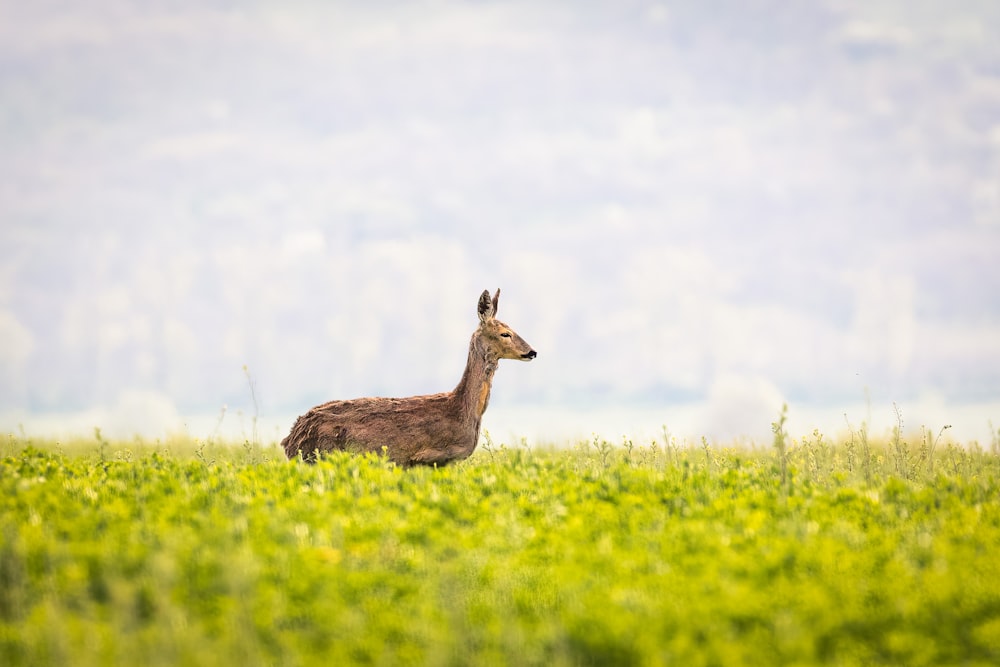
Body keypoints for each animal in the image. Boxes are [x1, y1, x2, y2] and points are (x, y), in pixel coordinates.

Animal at [282, 290, 540, 468]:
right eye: (505, 333)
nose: (532, 352)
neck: (463, 409)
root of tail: (290, 439)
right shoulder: (429, 457)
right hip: (320, 457)